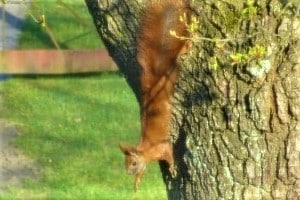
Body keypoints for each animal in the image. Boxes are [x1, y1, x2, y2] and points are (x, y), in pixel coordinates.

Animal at [119, 0, 190, 191]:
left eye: (133, 162)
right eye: (125, 162)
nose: (128, 173)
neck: (146, 150)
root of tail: (155, 86)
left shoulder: (162, 148)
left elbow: (170, 155)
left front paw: (173, 168)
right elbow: (143, 172)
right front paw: (136, 183)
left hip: (172, 75)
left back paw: (186, 47)